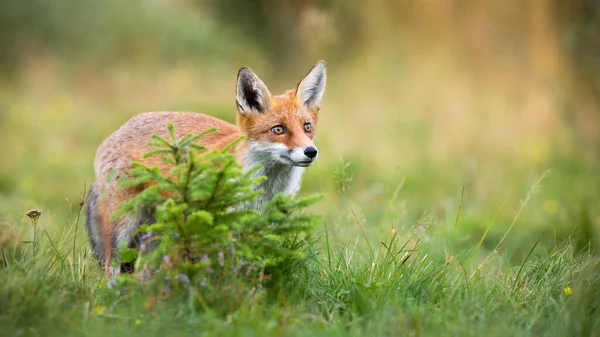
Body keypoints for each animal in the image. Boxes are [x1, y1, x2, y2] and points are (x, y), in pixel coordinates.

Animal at [86, 59, 326, 270]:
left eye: (307, 127)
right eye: (278, 129)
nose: (311, 152)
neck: (264, 190)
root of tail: (114, 133)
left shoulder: (262, 225)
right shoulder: (224, 223)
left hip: (157, 232)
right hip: (122, 230)